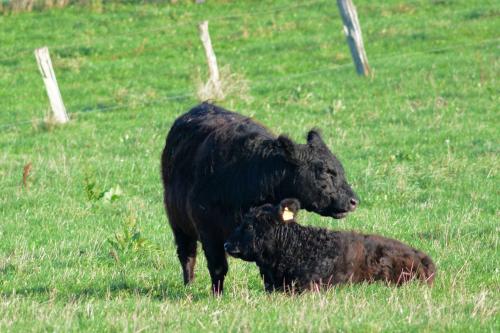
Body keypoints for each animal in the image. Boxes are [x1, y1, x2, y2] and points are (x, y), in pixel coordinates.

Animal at [162, 102, 358, 294]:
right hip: (178, 223)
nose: (353, 200)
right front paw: (217, 295)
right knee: (187, 255)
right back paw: (189, 286)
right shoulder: (208, 230)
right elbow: (217, 267)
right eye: (325, 171)